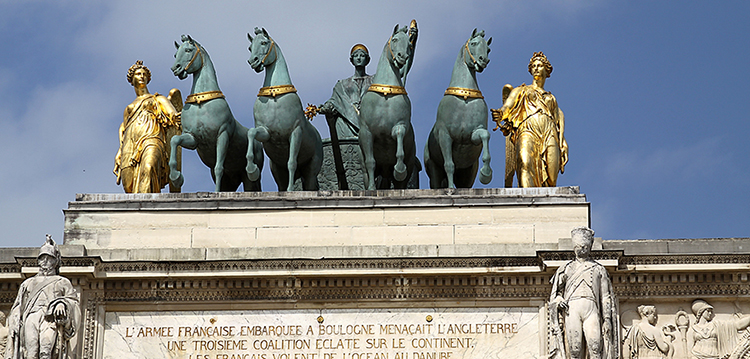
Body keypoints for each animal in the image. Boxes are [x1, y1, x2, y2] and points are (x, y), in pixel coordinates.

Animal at [170, 35, 264, 193]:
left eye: (188, 50)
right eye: (175, 54)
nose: (175, 69)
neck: (201, 103)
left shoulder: (222, 134)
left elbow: (219, 167)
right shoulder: (192, 138)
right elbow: (174, 140)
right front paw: (176, 178)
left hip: (249, 178)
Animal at [247, 28, 324, 193]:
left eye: (264, 42)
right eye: (250, 47)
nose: (253, 62)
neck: (275, 95)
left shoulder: (295, 132)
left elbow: (291, 162)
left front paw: (290, 190)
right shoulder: (266, 132)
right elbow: (251, 133)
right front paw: (252, 171)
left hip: (311, 169)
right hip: (276, 169)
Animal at [360, 23, 420, 190]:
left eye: (409, 45)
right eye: (395, 39)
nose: (402, 57)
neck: (386, 92)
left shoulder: (401, 124)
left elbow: (399, 135)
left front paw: (399, 169)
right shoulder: (366, 132)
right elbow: (371, 162)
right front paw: (372, 189)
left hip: (409, 164)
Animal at [426, 29, 496, 190]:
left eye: (488, 49)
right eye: (474, 43)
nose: (483, 61)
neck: (464, 99)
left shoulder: (474, 134)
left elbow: (485, 135)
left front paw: (486, 174)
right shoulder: (445, 135)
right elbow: (449, 164)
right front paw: (451, 189)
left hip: (468, 173)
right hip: (433, 167)